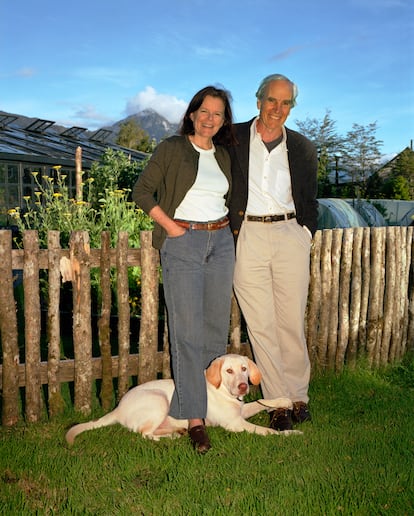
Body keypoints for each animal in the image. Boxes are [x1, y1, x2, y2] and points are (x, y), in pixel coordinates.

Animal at [66, 354, 302, 444]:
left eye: (244, 369)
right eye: (229, 371)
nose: (243, 386)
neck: (223, 391)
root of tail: (118, 408)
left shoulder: (241, 410)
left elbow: (262, 402)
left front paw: (284, 401)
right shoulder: (235, 423)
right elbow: (269, 431)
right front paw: (290, 433)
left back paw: (178, 431)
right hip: (159, 400)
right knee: (144, 433)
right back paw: (171, 437)